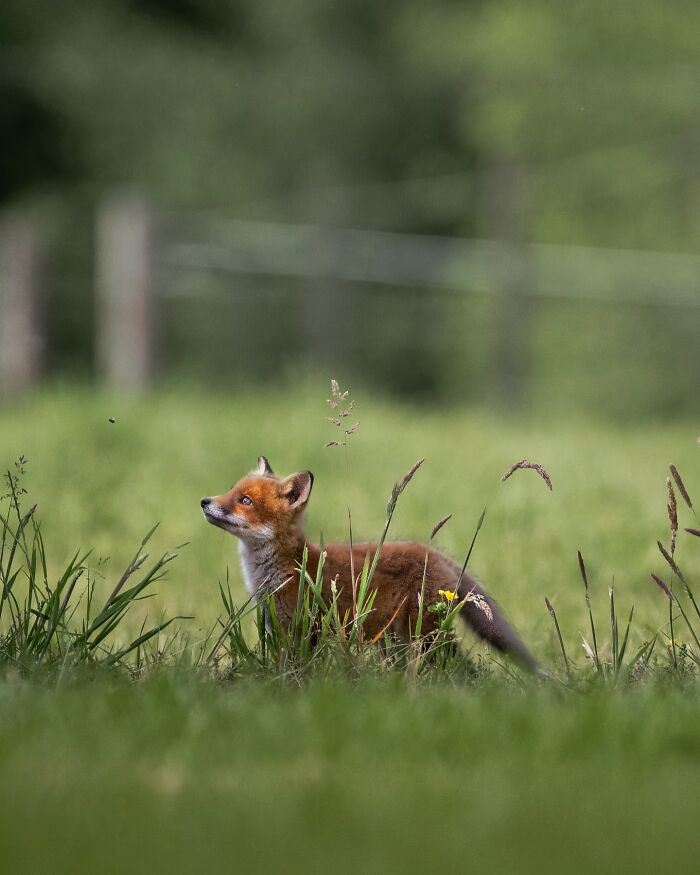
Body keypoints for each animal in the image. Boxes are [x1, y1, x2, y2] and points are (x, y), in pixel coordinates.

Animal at [201, 456, 539, 671]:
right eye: (232, 491)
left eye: (245, 501)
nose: (205, 501)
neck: (283, 568)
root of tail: (434, 552)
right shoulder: (276, 627)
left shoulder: (306, 628)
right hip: (395, 640)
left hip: (423, 635)